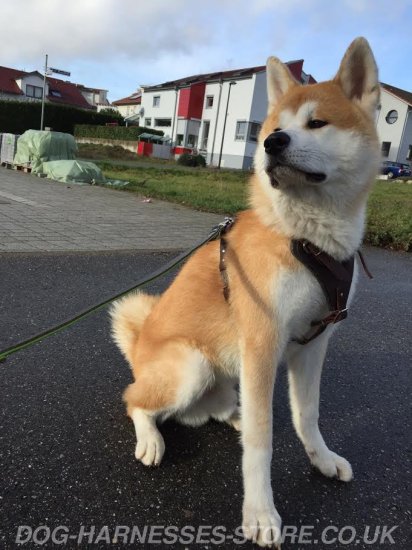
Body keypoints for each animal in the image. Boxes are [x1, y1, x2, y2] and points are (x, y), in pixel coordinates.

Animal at [111, 36, 382, 548]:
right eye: (274, 129)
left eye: (317, 123)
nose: (272, 143)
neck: (306, 238)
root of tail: (138, 348)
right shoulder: (262, 342)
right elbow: (262, 441)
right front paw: (260, 512)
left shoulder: (313, 345)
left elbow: (306, 415)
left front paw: (321, 458)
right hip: (191, 365)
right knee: (136, 400)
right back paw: (152, 437)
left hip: (227, 374)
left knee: (216, 410)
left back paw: (232, 414)